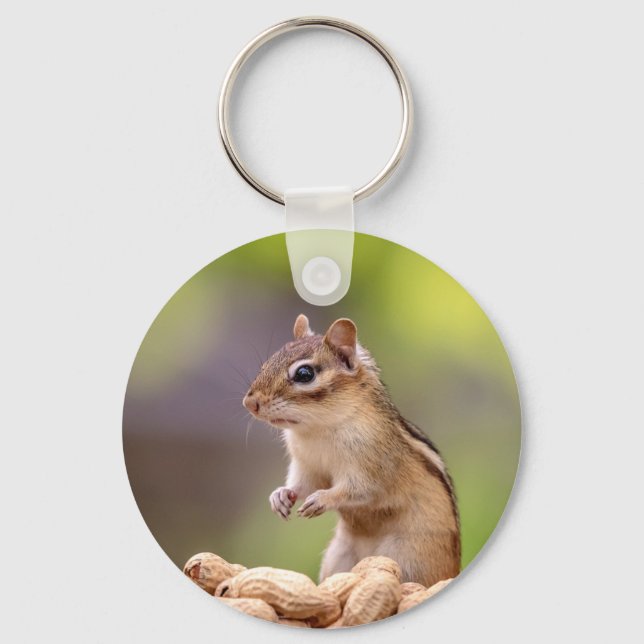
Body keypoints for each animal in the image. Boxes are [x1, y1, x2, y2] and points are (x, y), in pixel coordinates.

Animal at [242, 314, 461, 586]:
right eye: (266, 364)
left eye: (304, 374)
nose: (249, 403)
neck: (318, 430)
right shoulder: (307, 466)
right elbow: (303, 484)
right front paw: (280, 495)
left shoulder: (372, 465)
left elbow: (359, 490)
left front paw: (322, 499)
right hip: (338, 556)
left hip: (408, 558)